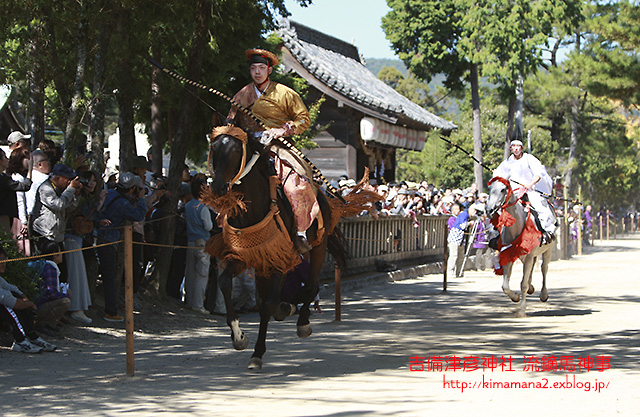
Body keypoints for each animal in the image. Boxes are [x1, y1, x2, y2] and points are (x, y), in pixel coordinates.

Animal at [204, 125, 348, 368]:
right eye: (213, 148)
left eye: (236, 151)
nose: (218, 187)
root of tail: (322, 193)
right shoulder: (245, 256)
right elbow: (225, 283)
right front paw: (238, 337)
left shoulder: (280, 258)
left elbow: (271, 304)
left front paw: (286, 309)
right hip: (265, 265)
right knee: (267, 302)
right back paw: (258, 352)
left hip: (318, 246)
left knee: (311, 286)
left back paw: (302, 321)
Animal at [488, 176, 552, 316]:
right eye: (490, 188)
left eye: (503, 189)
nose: (488, 210)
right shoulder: (509, 254)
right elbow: (505, 286)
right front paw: (516, 297)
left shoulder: (528, 256)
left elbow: (523, 284)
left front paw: (522, 310)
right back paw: (532, 288)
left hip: (547, 249)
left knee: (544, 268)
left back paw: (544, 294)